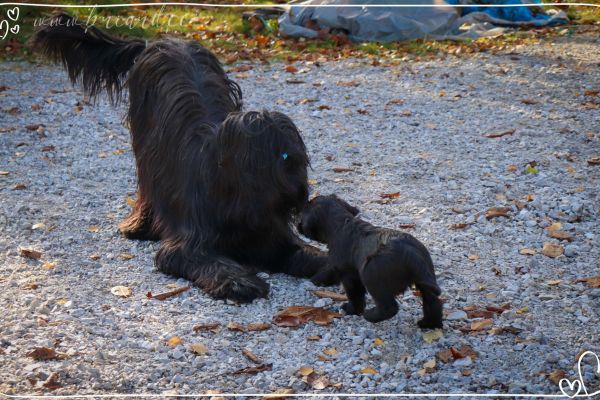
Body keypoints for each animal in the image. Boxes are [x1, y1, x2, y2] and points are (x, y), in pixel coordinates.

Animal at [34, 13, 328, 304]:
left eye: (295, 157)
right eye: (268, 159)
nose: (296, 192)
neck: (236, 200)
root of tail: (159, 42)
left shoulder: (271, 236)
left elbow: (301, 250)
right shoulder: (190, 239)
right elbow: (204, 260)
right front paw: (238, 282)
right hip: (145, 143)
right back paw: (139, 227)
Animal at [298, 194, 442, 328]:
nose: (297, 226)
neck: (341, 224)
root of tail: (410, 252)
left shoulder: (348, 274)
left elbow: (354, 294)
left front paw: (351, 310)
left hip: (371, 274)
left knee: (389, 307)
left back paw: (370, 315)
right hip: (426, 275)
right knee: (433, 301)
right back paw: (429, 324)